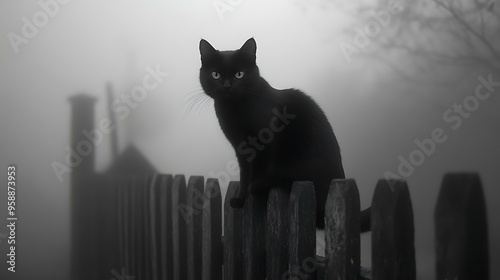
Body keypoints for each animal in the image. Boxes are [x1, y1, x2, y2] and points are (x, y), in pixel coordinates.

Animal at [200, 37, 372, 230]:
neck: (233, 110)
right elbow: (244, 175)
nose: (227, 86)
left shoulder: (264, 146)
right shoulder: (241, 149)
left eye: (239, 74)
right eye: (215, 75)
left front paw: (252, 200)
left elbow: (255, 173)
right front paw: (240, 200)